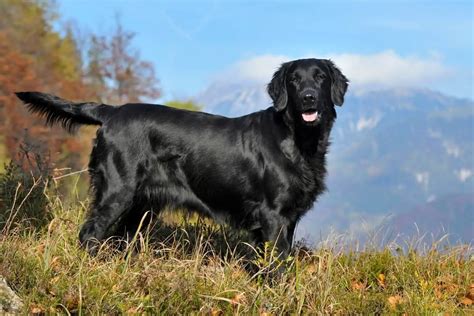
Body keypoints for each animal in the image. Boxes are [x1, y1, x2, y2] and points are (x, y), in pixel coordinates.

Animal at [15, 58, 348, 256]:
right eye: (294, 80)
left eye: (320, 77)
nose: (308, 97)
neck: (299, 140)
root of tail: (111, 111)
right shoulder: (273, 215)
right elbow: (276, 265)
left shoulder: (289, 218)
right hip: (117, 192)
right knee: (90, 234)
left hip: (140, 207)